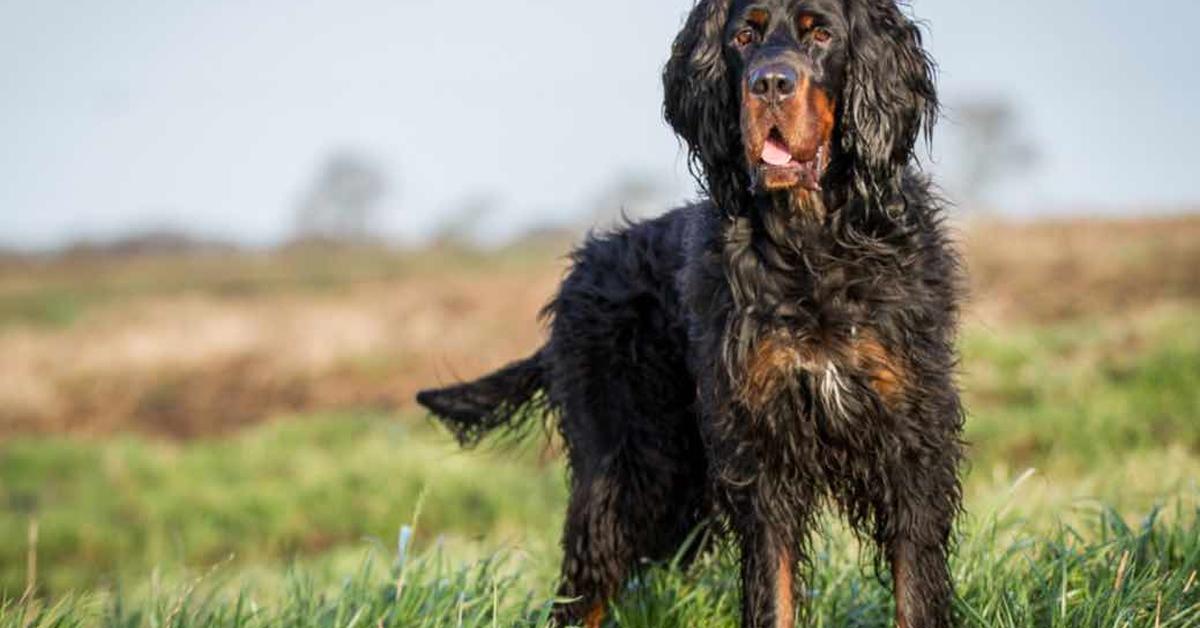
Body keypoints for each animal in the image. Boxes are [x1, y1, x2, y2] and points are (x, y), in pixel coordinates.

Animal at [417, 2, 960, 624]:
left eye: (822, 32)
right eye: (743, 36)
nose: (769, 84)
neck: (812, 243)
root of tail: (580, 273)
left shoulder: (911, 445)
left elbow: (913, 593)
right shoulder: (762, 454)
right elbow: (773, 592)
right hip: (627, 474)